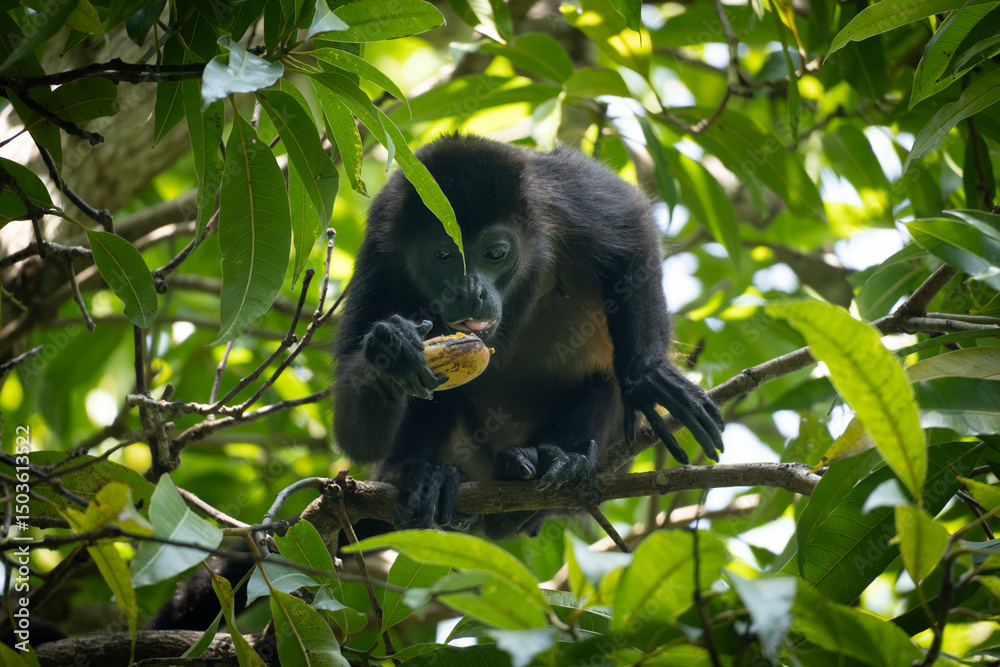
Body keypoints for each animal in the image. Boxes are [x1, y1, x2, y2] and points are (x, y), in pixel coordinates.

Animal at [333, 134, 724, 538]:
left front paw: (648, 374)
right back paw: (422, 477)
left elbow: (632, 226)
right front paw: (389, 352)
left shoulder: (564, 195)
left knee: (605, 383)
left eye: (495, 253)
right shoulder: (379, 252)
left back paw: (547, 467)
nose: (470, 291)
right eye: (442, 255)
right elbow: (355, 434)